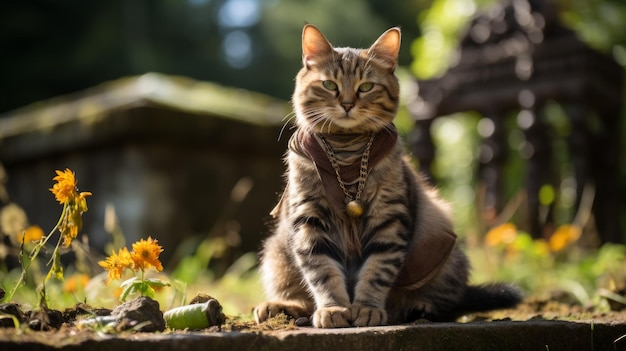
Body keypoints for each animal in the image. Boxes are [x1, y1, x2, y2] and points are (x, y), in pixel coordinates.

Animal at [251, 25, 520, 330]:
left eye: (366, 87)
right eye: (330, 85)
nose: (347, 104)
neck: (346, 151)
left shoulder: (389, 219)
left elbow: (377, 270)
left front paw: (367, 309)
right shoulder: (310, 219)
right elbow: (322, 271)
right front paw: (333, 308)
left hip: (446, 253)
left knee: (449, 303)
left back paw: (419, 308)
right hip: (275, 254)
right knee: (300, 298)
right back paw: (281, 307)